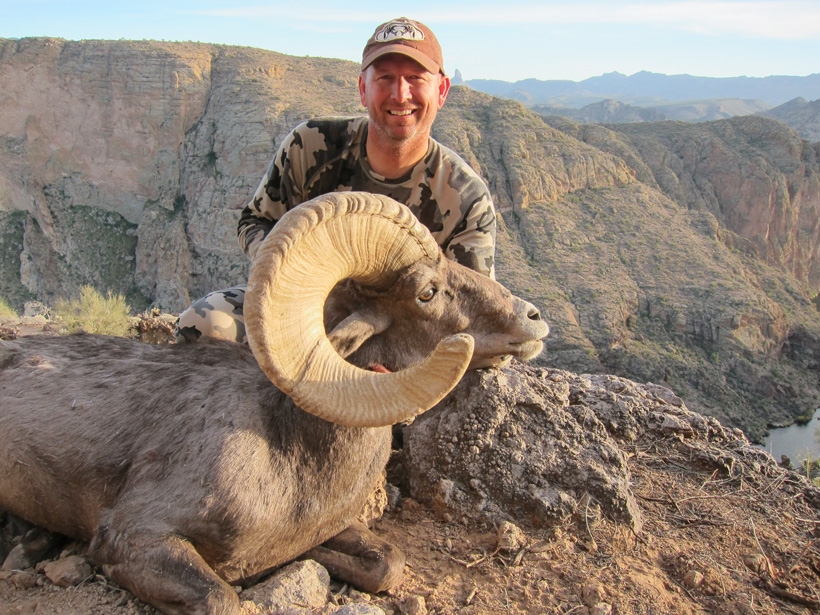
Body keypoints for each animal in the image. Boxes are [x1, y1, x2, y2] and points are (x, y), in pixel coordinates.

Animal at [1, 192, 552, 615]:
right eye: (427, 292)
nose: (534, 318)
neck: (287, 450)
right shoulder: (136, 536)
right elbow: (222, 597)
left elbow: (386, 564)